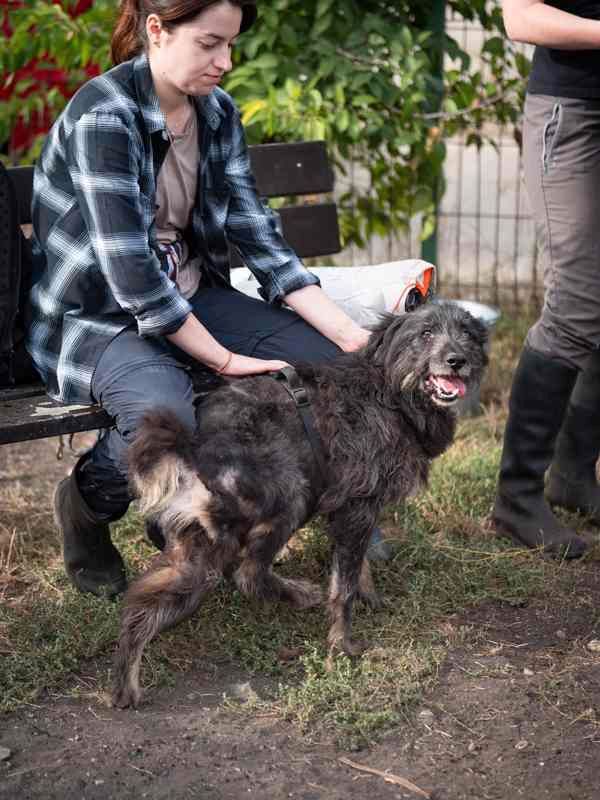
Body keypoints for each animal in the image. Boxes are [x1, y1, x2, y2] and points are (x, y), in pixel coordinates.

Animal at [111, 300, 488, 708]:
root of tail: (195, 447)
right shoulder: (357, 506)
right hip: (291, 495)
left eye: (467, 333)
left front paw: (371, 598)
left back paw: (125, 685)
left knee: (140, 607)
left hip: (196, 557)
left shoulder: (349, 511)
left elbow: (358, 567)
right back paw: (300, 593)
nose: (457, 360)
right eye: (426, 333)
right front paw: (342, 644)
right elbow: (343, 585)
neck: (389, 391)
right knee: (248, 574)